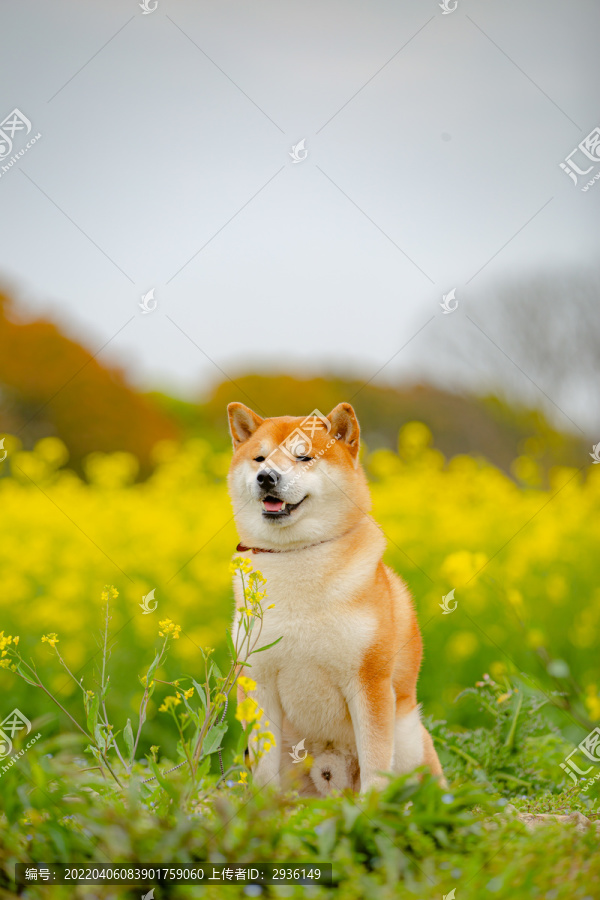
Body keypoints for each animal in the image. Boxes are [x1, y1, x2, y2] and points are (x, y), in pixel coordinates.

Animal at [227, 402, 442, 796]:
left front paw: (371, 806)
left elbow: (376, 764)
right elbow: (263, 769)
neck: (297, 557)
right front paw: (263, 806)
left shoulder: (369, 683)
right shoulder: (258, 685)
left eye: (304, 457)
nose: (266, 477)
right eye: (259, 458)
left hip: (408, 738)